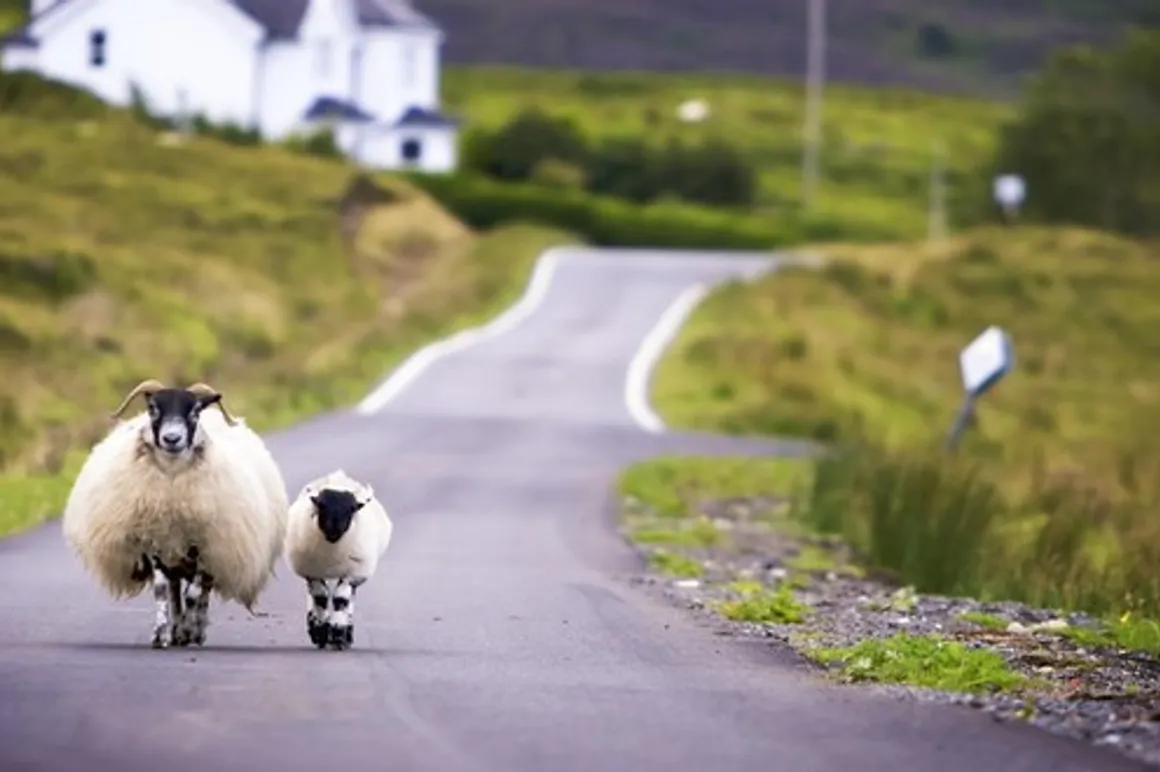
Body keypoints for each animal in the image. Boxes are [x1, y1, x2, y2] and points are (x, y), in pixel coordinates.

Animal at [61, 379, 289, 649]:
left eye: (195, 411)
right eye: (152, 408)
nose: (171, 438)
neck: (172, 484)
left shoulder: (204, 544)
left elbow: (193, 594)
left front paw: (189, 629)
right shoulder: (155, 540)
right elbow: (162, 591)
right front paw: (162, 633)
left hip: (215, 549)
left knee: (202, 591)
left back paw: (195, 630)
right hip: (175, 554)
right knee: (173, 589)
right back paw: (177, 629)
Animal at [285, 469, 393, 650]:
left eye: (351, 509)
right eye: (321, 506)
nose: (334, 529)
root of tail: (338, 477)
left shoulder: (352, 573)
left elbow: (341, 599)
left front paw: (337, 633)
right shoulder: (312, 572)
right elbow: (320, 597)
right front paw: (320, 631)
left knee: (348, 599)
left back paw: (346, 633)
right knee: (313, 595)